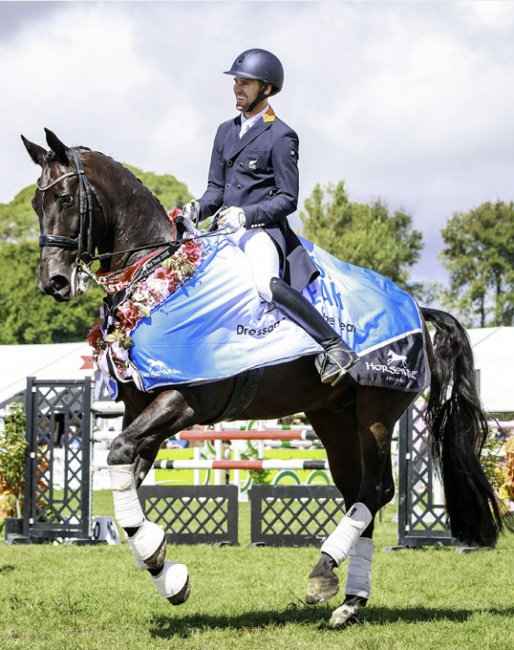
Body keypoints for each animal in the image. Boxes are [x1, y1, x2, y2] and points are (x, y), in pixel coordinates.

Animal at [21, 130, 508, 624]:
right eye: (36, 204)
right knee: (358, 491)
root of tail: (417, 309)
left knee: (377, 489)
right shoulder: (140, 410)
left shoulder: (183, 403)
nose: (54, 283)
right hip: (334, 417)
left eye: (65, 198)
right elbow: (125, 476)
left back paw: (324, 570)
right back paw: (349, 600)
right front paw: (164, 569)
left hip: (376, 412)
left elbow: (119, 452)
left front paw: (158, 557)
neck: (161, 280)